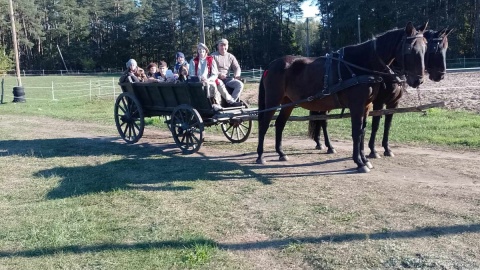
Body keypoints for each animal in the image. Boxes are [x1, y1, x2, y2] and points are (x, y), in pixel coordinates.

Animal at [256, 21, 426, 173]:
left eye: (425, 47)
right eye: (410, 49)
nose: (418, 80)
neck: (361, 64)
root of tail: (271, 65)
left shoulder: (367, 106)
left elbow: (363, 131)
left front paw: (365, 159)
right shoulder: (357, 105)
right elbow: (356, 132)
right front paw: (359, 163)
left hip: (289, 103)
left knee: (279, 124)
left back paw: (281, 153)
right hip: (273, 100)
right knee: (264, 124)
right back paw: (260, 156)